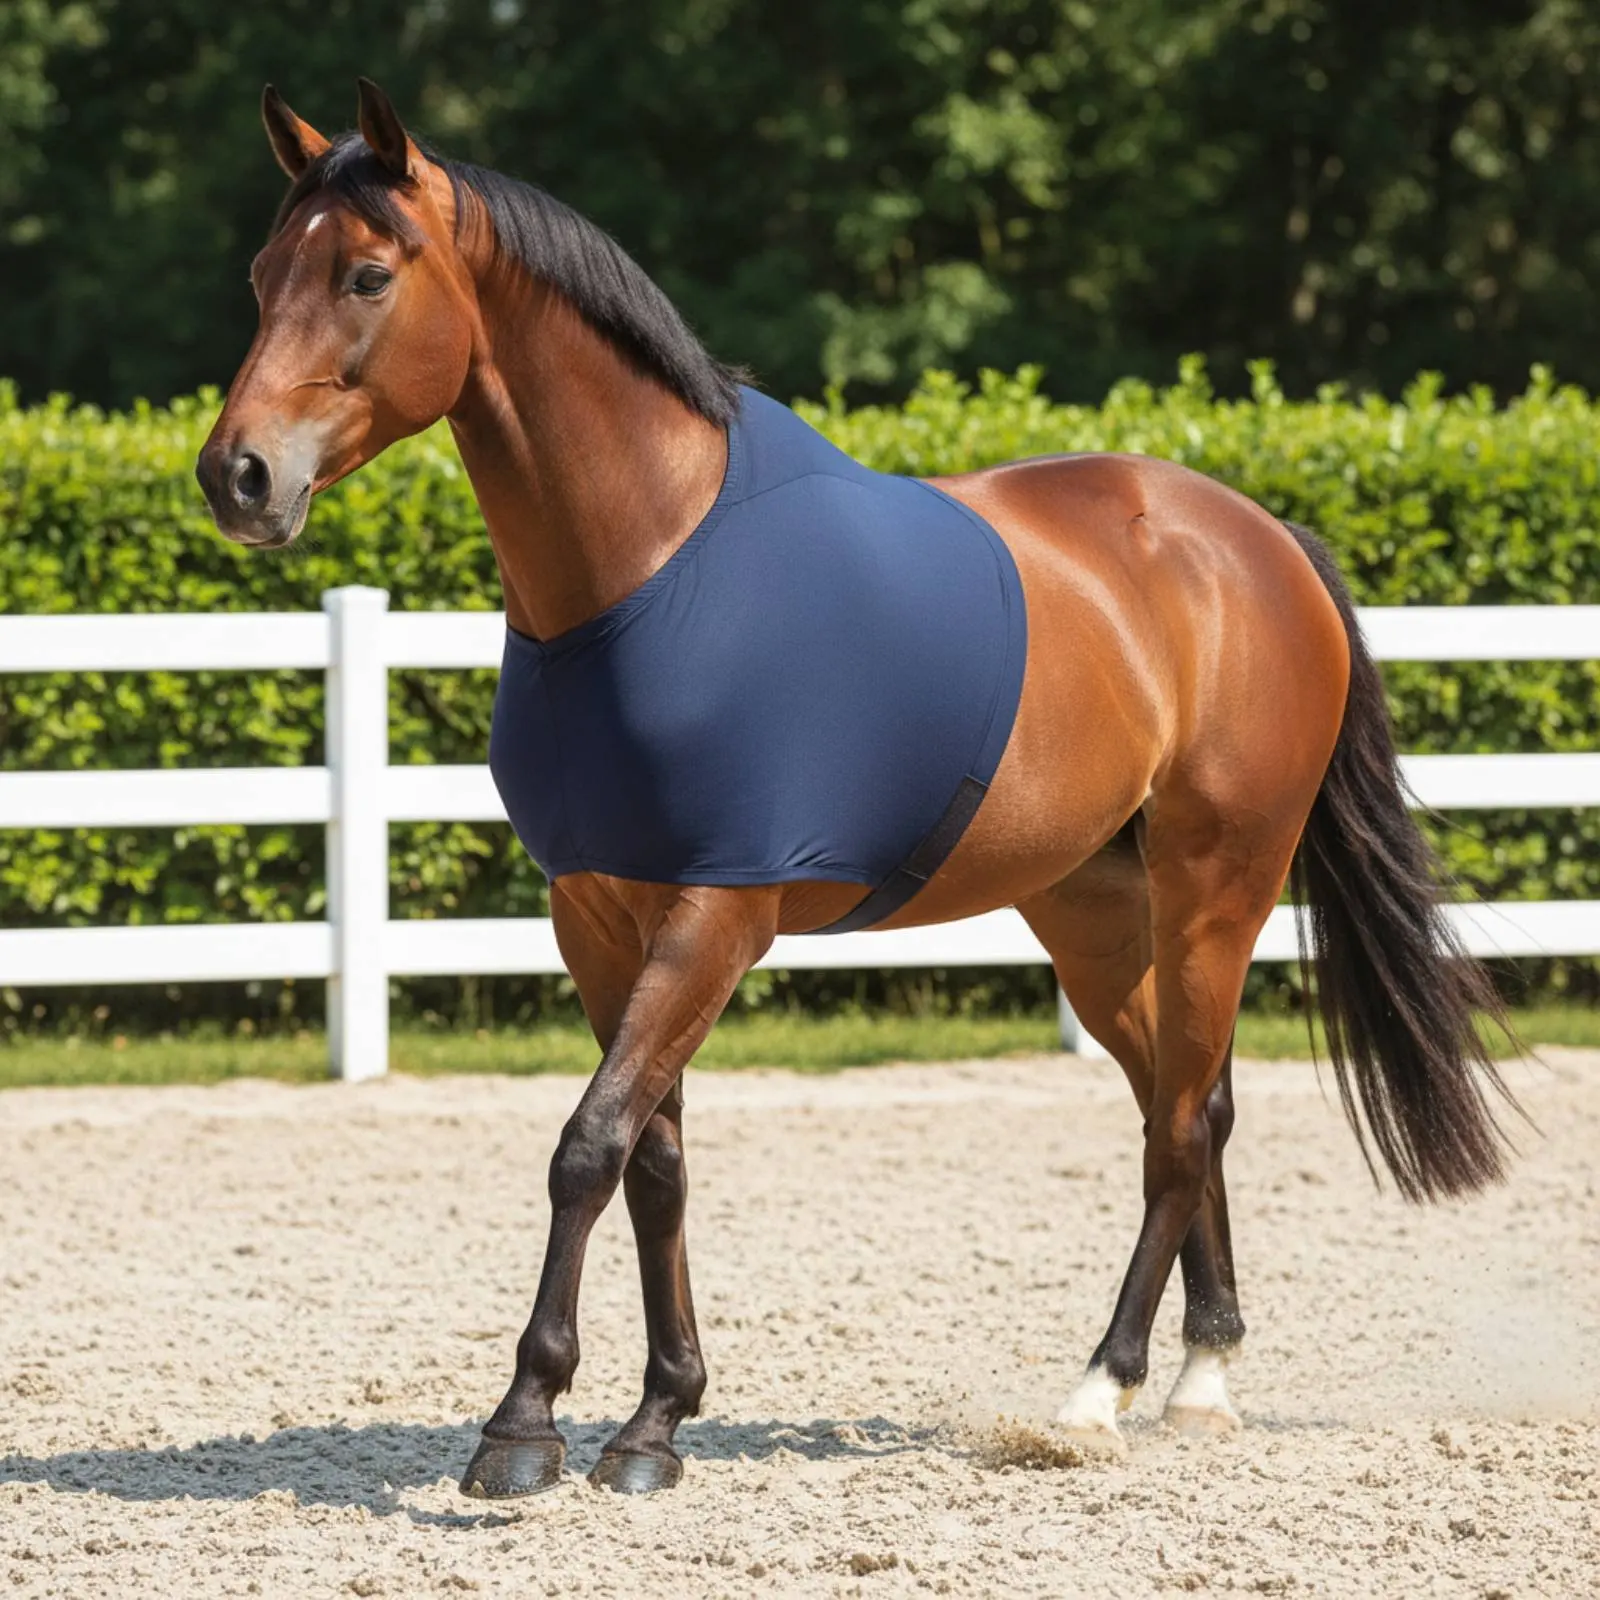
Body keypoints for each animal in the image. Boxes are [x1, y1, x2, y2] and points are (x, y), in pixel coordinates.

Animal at [196, 80, 1515, 1497]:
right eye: (261, 276)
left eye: (369, 274)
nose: (238, 476)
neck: (651, 563)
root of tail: (1258, 540)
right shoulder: (599, 919)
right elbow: (655, 1159)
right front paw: (656, 1418)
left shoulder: (717, 915)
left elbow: (587, 1146)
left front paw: (524, 1421)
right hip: (1095, 914)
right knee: (1190, 1103)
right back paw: (1200, 1378)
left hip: (1218, 886)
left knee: (1177, 1124)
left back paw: (1102, 1391)